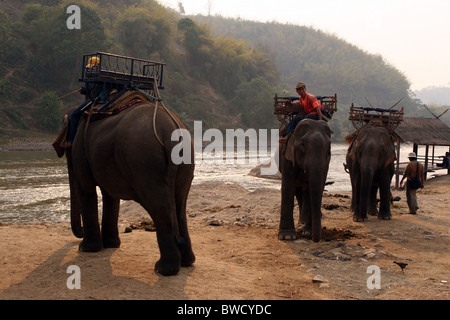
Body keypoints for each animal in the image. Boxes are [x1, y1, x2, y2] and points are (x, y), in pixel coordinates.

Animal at [62, 94, 195, 276]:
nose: (79, 233)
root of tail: (169, 129)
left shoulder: (80, 151)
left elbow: (86, 188)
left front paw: (87, 249)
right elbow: (110, 195)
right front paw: (111, 245)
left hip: (144, 161)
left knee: (160, 207)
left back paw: (163, 269)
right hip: (185, 161)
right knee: (180, 205)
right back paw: (186, 262)